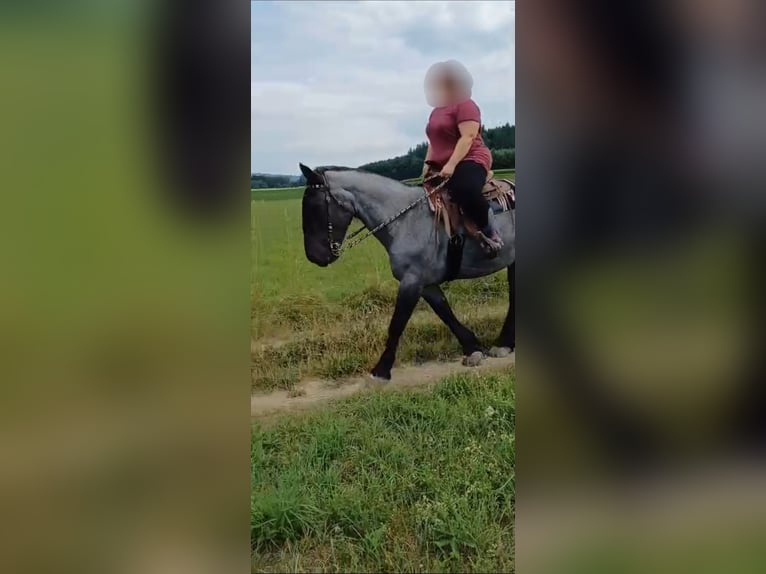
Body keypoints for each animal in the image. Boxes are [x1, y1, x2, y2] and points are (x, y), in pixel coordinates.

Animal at [299, 163, 515, 381]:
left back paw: (504, 343)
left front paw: (381, 369)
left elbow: (397, 323)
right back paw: (504, 343)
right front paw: (472, 347)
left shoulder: (411, 281)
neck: (406, 220)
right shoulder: (425, 284)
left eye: (314, 208)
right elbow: (444, 312)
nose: (315, 256)